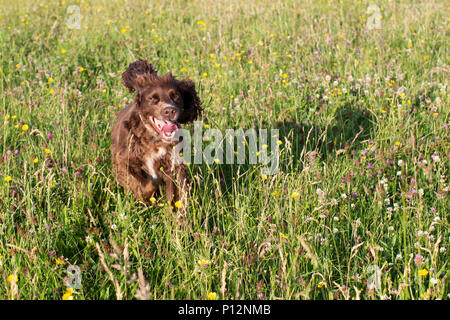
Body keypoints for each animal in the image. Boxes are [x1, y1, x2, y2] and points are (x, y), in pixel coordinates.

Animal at [110, 59, 201, 205]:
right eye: (152, 99)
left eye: (175, 96)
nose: (169, 111)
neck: (154, 139)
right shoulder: (123, 161)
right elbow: (146, 184)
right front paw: (146, 195)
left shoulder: (173, 167)